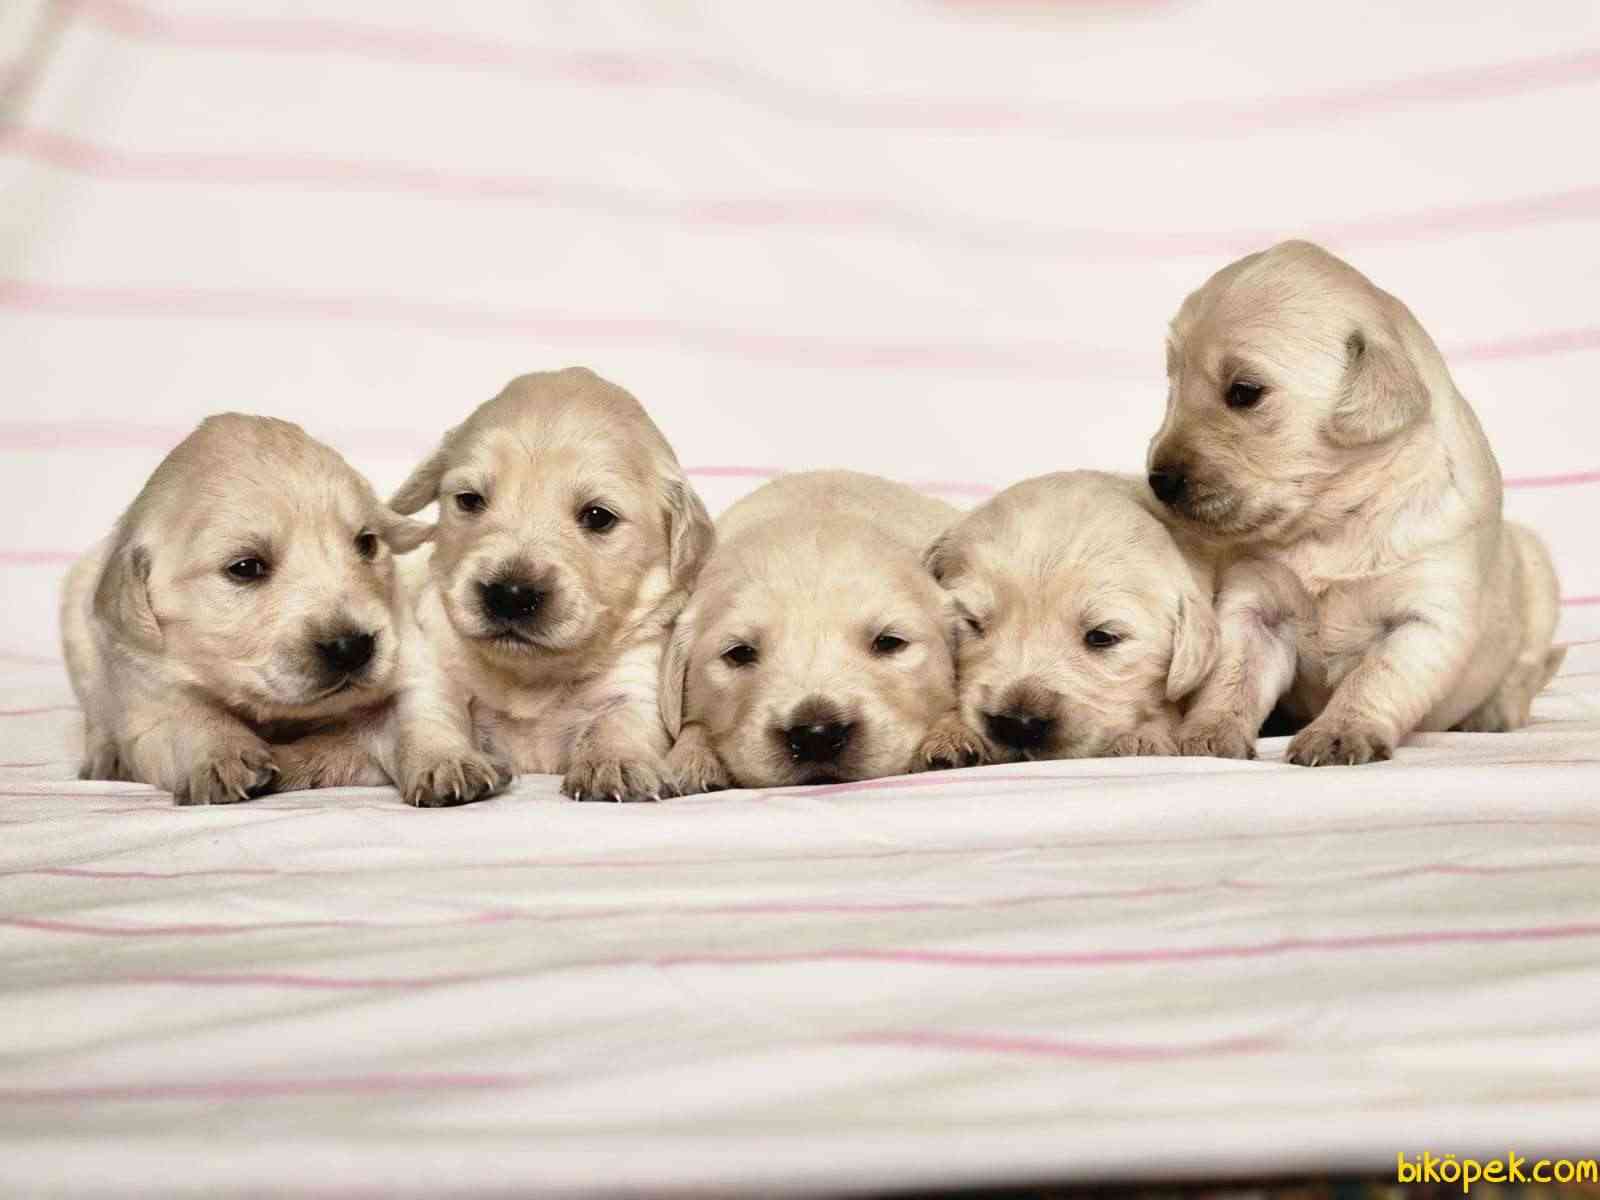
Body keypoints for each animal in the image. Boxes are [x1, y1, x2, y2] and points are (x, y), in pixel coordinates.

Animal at [60, 414, 440, 805]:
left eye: (366, 543)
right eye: (245, 567)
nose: (352, 648)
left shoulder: (409, 646)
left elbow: (418, 705)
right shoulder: (146, 688)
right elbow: (184, 716)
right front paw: (223, 753)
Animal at [389, 367, 712, 802]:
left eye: (598, 516)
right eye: (470, 500)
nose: (510, 594)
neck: (532, 677)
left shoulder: (637, 676)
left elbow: (620, 721)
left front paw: (615, 763)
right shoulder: (435, 664)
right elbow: (429, 715)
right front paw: (447, 763)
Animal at [1147, 240, 1564, 765]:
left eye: (1244, 393)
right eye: (1172, 386)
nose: (1158, 480)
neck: (1334, 521)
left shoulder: (1425, 619)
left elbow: (1372, 679)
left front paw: (1339, 733)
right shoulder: (1254, 608)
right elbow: (1231, 677)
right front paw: (1208, 732)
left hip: (1537, 579)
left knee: (1523, 672)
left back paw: (1492, 715)